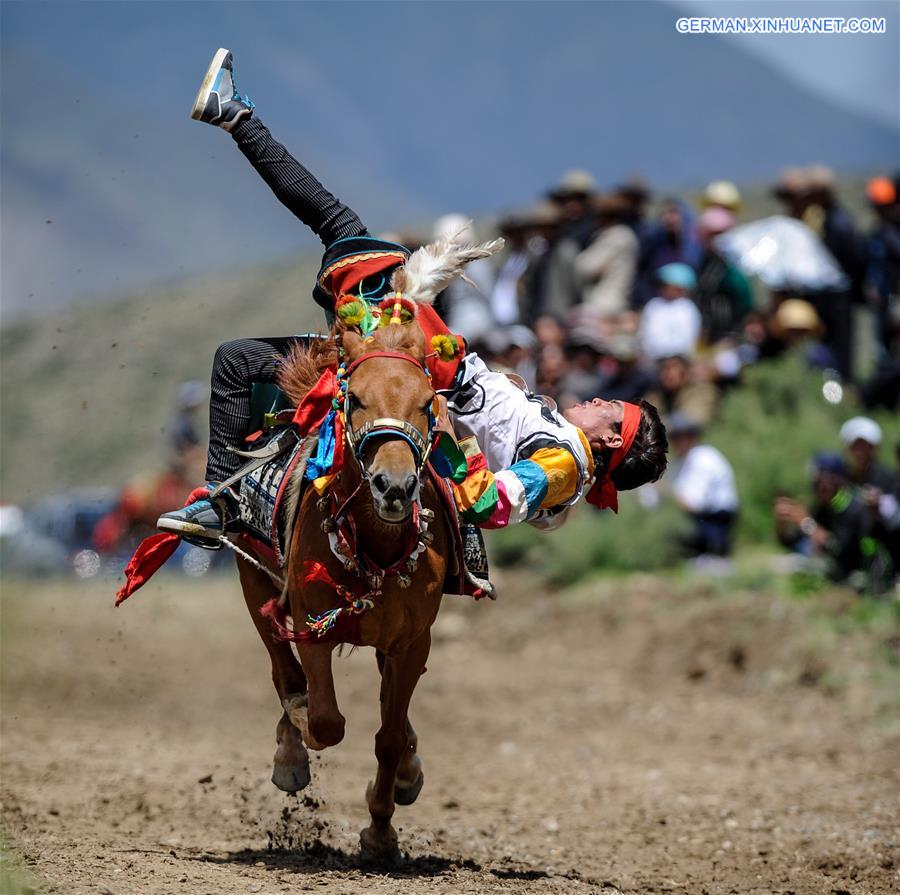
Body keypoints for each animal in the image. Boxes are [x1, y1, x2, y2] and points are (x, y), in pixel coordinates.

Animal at [237, 318, 454, 864]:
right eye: (354, 398)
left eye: (427, 403)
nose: (394, 486)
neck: (374, 543)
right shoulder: (313, 626)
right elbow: (325, 720)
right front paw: (297, 732)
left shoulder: (411, 642)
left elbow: (390, 737)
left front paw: (380, 833)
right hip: (253, 578)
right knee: (282, 669)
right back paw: (290, 749)